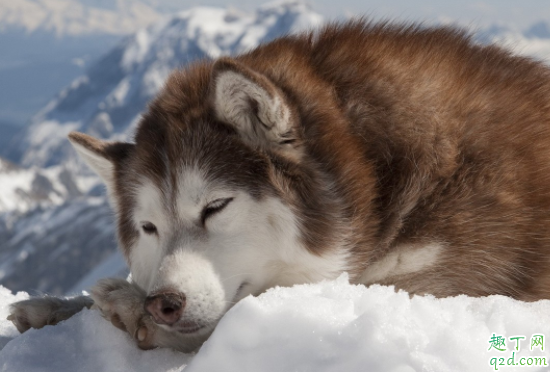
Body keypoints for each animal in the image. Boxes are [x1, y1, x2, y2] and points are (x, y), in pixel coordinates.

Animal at [8, 20, 550, 352]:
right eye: (148, 228)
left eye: (216, 206)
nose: (163, 303)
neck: (374, 173)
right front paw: (53, 306)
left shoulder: (449, 285)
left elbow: (234, 316)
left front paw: (127, 309)